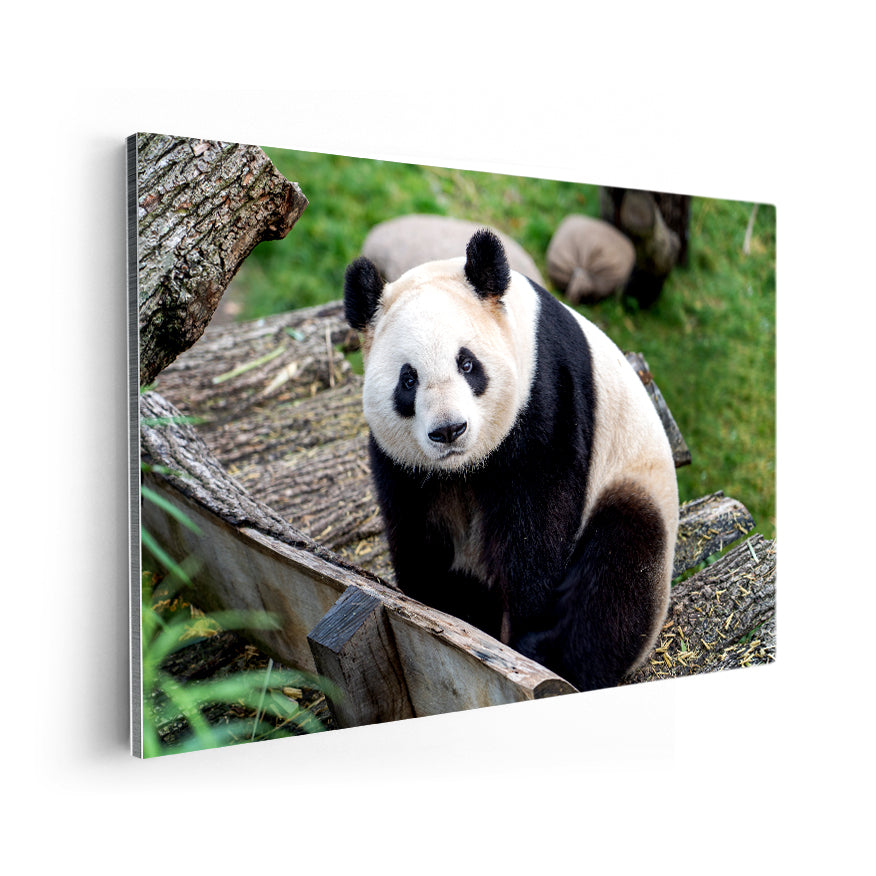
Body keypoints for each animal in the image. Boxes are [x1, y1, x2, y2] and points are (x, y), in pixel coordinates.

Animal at [344, 228, 678, 692]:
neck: (462, 467)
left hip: (634, 483)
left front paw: (518, 634)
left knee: (620, 571)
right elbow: (416, 529)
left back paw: (553, 655)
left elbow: (538, 524)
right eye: (407, 380)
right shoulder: (402, 462)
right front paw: (440, 607)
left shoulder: (546, 395)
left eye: (467, 364)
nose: (449, 430)